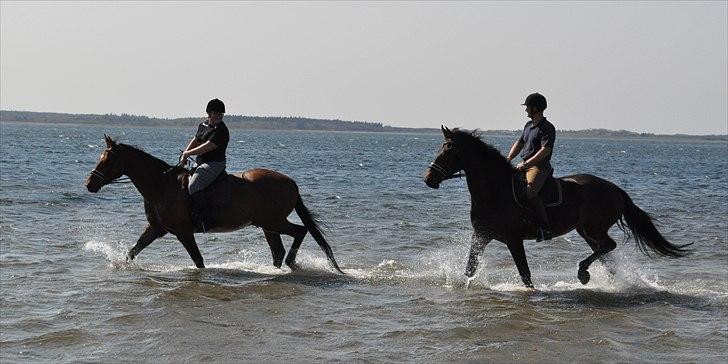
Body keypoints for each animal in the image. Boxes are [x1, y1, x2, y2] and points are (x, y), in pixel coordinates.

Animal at [84, 134, 346, 272]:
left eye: (107, 160)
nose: (89, 184)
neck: (162, 185)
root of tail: (291, 181)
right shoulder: (157, 228)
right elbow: (133, 250)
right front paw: (121, 266)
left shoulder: (183, 232)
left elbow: (198, 261)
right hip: (268, 225)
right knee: (279, 249)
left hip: (273, 222)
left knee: (299, 232)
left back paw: (291, 263)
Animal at [420, 126, 688, 288]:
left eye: (448, 150)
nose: (428, 179)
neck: (495, 191)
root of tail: (615, 189)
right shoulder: (481, 235)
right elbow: (470, 269)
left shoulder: (513, 239)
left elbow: (525, 274)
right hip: (586, 231)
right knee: (606, 254)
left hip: (594, 228)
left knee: (608, 247)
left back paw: (583, 273)